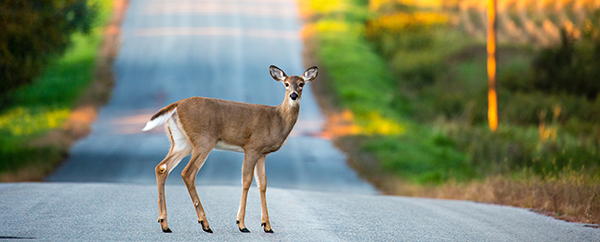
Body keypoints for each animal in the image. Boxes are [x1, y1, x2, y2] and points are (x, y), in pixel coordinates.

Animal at [141, 65, 318, 234]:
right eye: (286, 84)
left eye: (301, 84)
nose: (293, 95)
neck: (278, 120)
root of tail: (176, 105)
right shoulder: (252, 146)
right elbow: (246, 181)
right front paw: (242, 224)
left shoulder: (262, 153)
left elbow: (263, 183)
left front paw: (267, 226)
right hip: (204, 140)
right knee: (187, 173)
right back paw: (205, 224)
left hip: (181, 142)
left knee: (162, 167)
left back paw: (165, 224)